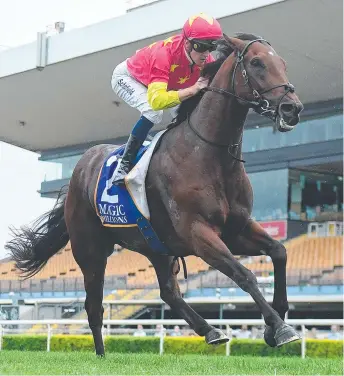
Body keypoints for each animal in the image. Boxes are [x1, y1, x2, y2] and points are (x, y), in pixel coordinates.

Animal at [6, 33, 304, 356]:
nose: (292, 108)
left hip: (156, 246)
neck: (208, 154)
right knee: (94, 306)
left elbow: (280, 251)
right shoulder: (198, 234)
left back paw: (210, 330)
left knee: (168, 292)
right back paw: (101, 354)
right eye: (257, 62)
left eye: (283, 63)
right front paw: (281, 328)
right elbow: (244, 275)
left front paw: (276, 320)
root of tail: (80, 168)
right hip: (90, 250)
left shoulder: (234, 230)